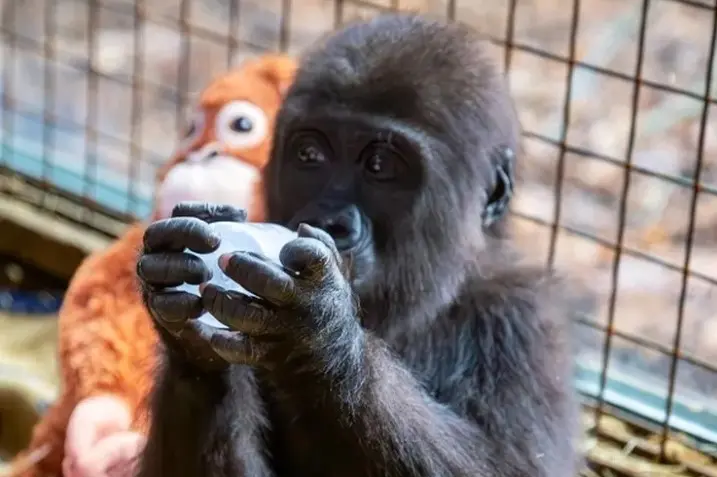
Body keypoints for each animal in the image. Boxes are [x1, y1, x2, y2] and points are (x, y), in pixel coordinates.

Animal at [136, 11, 580, 476]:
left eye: (380, 166)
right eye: (310, 155)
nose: (329, 220)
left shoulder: (523, 318)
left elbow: (515, 467)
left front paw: (319, 335)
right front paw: (189, 348)